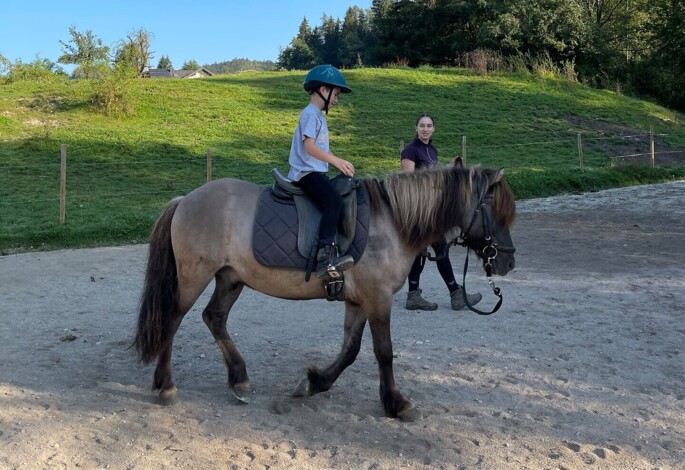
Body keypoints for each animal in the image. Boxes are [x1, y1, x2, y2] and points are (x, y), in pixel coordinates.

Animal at [132, 163, 512, 420]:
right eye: (496, 212)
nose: (507, 262)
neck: (392, 222)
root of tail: (186, 200)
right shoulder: (378, 298)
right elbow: (384, 352)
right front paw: (397, 402)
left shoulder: (358, 300)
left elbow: (351, 350)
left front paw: (314, 383)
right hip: (194, 277)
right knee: (171, 322)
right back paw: (166, 386)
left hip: (230, 278)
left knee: (214, 318)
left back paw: (239, 380)